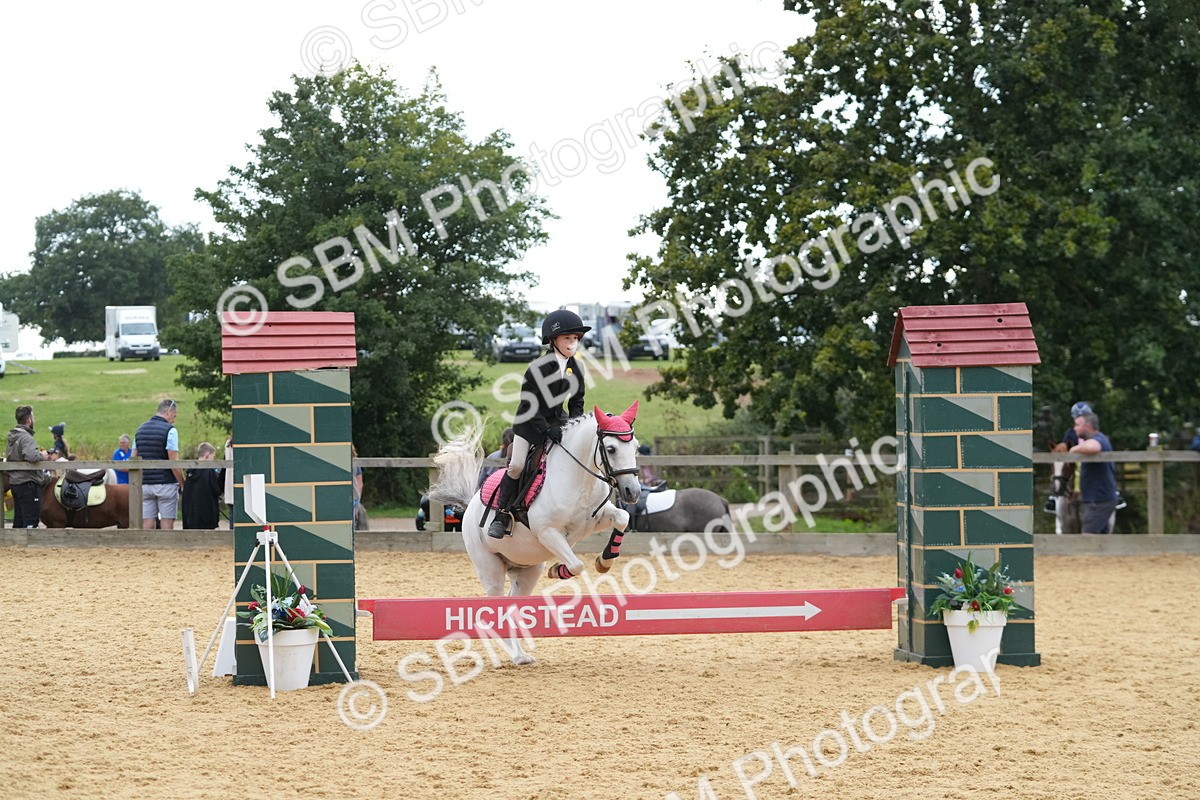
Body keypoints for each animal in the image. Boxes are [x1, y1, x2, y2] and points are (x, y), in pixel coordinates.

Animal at [429, 401, 642, 665]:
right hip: (490, 570)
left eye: (635, 447)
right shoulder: (547, 532)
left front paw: (604, 561)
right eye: (611, 449)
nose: (633, 492)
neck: (578, 477)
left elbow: (622, 518)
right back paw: (515, 655)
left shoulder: (596, 519)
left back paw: (520, 654)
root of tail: (470, 506)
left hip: (526, 573)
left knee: (512, 606)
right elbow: (576, 565)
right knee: (496, 607)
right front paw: (558, 570)